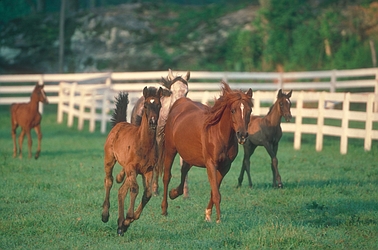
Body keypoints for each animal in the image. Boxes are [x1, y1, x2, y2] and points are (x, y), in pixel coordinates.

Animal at [102, 86, 162, 236]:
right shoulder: (131, 168)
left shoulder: (148, 170)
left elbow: (147, 194)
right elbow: (135, 189)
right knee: (109, 181)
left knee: (121, 191)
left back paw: (120, 225)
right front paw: (128, 217)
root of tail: (120, 123)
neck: (143, 144)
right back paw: (105, 215)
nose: (153, 122)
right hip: (109, 160)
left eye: (159, 105)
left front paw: (126, 223)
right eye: (145, 105)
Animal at [130, 69, 190, 197]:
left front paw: (185, 193)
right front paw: (155, 190)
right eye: (172, 91)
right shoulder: (158, 142)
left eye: (187, 91)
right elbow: (156, 164)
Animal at [158, 81, 252, 223]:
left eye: (249, 111)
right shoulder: (211, 164)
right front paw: (219, 219)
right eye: (233, 110)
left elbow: (214, 191)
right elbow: (216, 193)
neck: (218, 134)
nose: (242, 136)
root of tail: (180, 102)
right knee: (166, 177)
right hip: (170, 150)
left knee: (184, 171)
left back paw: (174, 193)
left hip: (189, 156)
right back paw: (164, 209)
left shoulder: (225, 167)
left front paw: (208, 214)